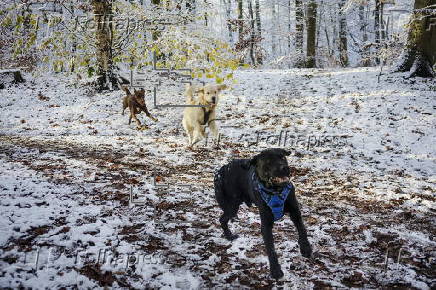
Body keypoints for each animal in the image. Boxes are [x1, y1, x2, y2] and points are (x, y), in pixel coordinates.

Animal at [214, 148, 310, 280]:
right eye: (268, 161)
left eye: (282, 157)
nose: (284, 168)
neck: (276, 191)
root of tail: (221, 170)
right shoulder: (266, 224)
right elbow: (271, 249)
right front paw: (275, 270)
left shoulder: (295, 212)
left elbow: (302, 229)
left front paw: (305, 248)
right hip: (232, 205)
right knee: (222, 219)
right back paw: (229, 236)